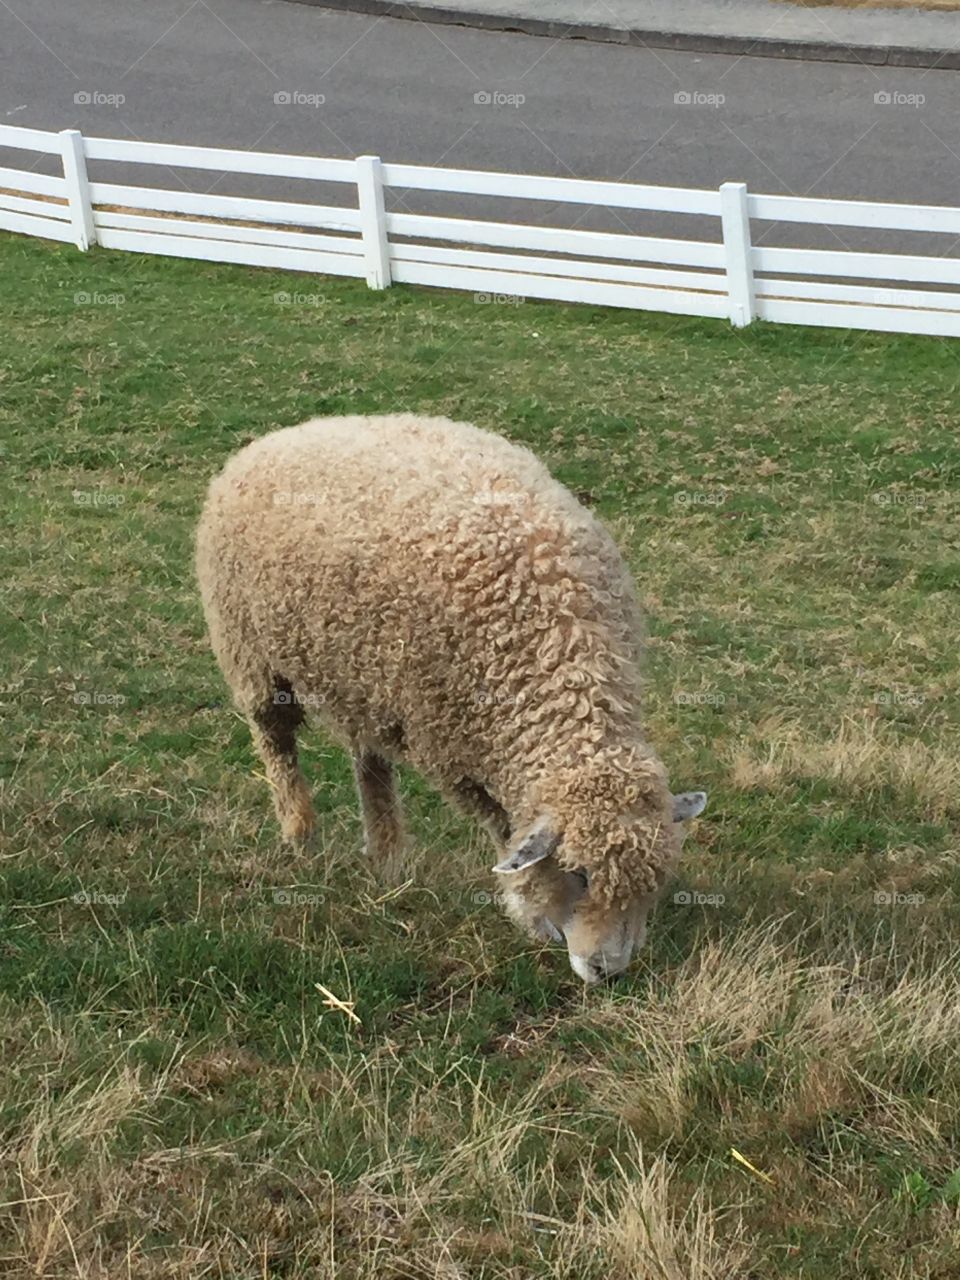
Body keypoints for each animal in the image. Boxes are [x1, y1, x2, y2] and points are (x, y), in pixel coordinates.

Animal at [196, 413, 706, 984]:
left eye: (654, 882)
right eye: (578, 874)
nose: (608, 971)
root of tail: (287, 432)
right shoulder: (452, 746)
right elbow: (505, 829)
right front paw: (530, 912)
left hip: (364, 677)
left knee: (369, 759)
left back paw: (387, 851)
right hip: (251, 653)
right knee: (275, 741)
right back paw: (299, 828)